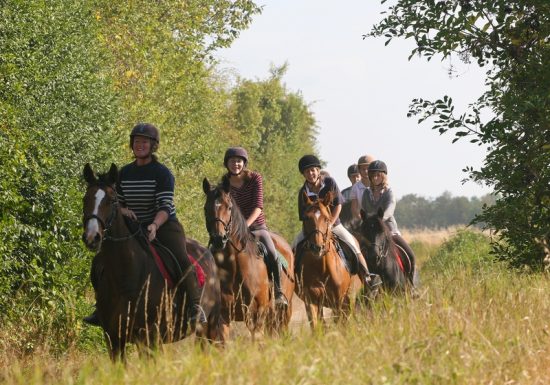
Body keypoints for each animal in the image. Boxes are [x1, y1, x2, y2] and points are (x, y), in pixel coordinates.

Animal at [81, 163, 223, 360]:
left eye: (111, 200)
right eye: (85, 199)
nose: (92, 237)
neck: (126, 274)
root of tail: (207, 252)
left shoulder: (148, 337)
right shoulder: (113, 338)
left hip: (211, 325)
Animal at [204, 177, 298, 340]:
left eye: (229, 207)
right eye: (205, 208)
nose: (218, 239)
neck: (233, 267)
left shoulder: (256, 314)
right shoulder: (223, 316)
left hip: (283, 311)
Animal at [296, 192, 364, 328]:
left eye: (326, 219)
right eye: (306, 218)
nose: (317, 247)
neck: (321, 267)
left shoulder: (338, 301)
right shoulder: (311, 300)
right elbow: (316, 325)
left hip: (349, 297)